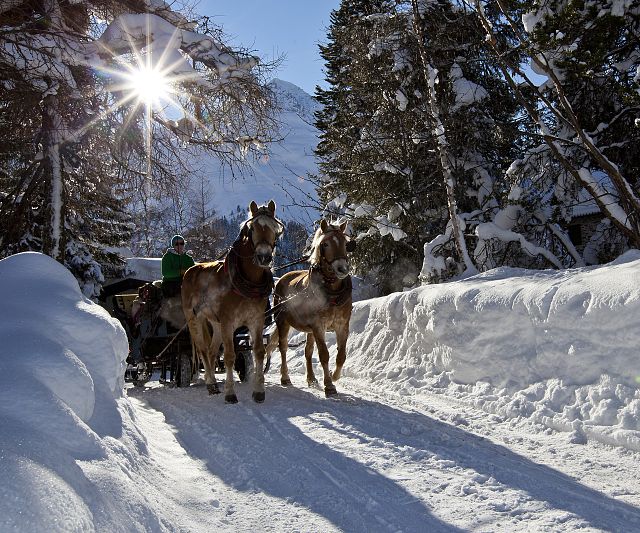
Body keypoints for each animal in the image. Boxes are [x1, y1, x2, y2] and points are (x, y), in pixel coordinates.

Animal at [179, 200, 282, 404]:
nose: (264, 257)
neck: (246, 282)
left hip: (216, 323)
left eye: (274, 228)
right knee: (203, 350)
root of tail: (190, 271)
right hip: (195, 319)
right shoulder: (228, 322)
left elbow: (259, 351)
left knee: (212, 351)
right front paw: (230, 393)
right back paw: (211, 384)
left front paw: (258, 392)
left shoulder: (256, 320)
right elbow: (229, 356)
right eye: (252, 228)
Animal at [266, 217, 356, 394]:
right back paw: (285, 377)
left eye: (345, 243)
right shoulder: (319, 326)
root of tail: (282, 279)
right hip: (283, 321)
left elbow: (341, 355)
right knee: (283, 347)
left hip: (309, 330)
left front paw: (334, 376)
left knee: (307, 352)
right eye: (325, 244)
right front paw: (329, 385)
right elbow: (324, 354)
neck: (331, 293)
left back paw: (312, 379)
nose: (342, 269)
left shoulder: (342, 325)